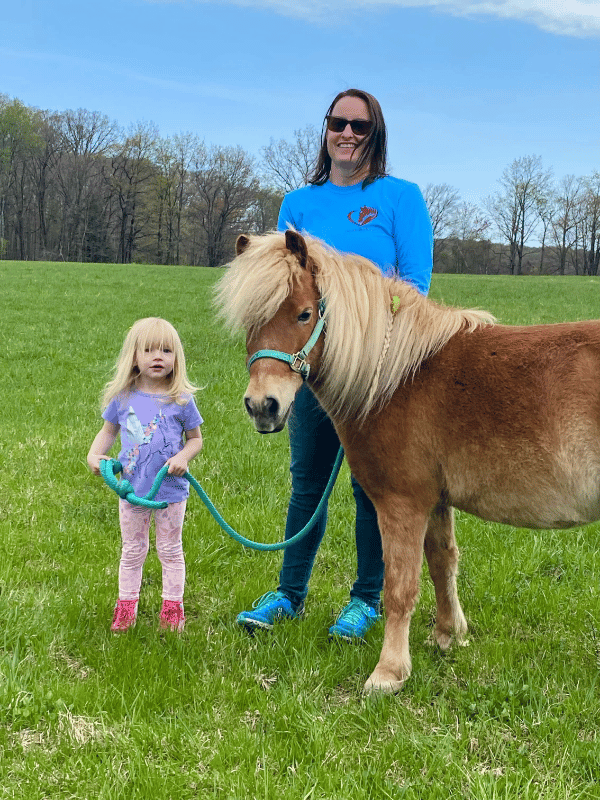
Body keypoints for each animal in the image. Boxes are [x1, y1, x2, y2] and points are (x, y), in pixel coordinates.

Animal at [215, 228, 600, 694]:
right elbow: (442, 563)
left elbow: (400, 586)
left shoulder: (402, 503)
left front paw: (389, 672)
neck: (397, 376)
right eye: (251, 321)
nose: (263, 406)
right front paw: (448, 636)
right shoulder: (434, 500)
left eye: (305, 314)